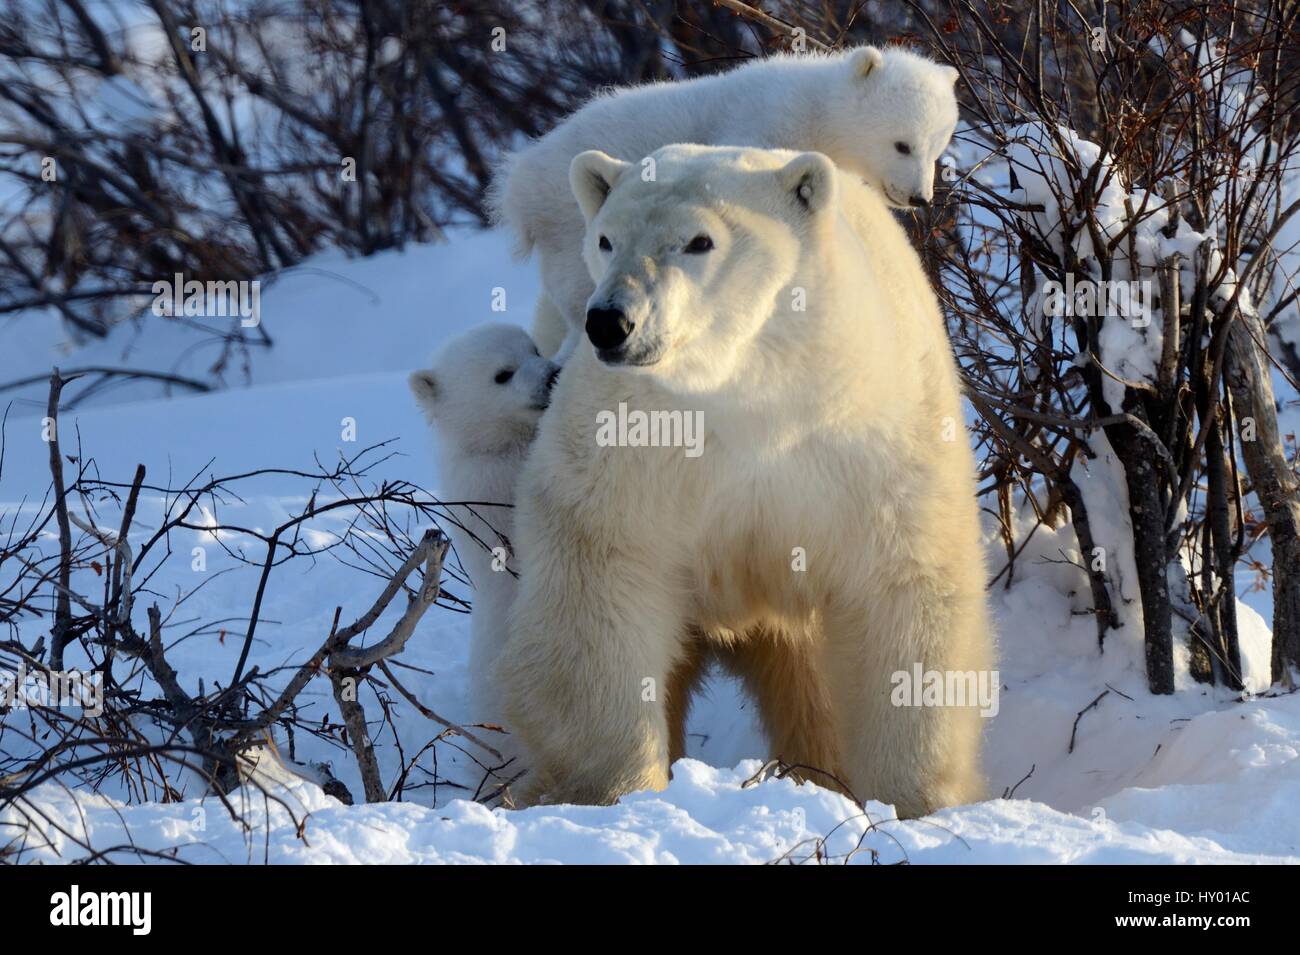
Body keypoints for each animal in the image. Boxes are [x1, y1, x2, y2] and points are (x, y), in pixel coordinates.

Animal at [490, 45, 960, 360]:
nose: (919, 197)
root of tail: (518, 186)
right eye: (902, 144)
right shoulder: (763, 129)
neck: (816, 112)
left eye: (937, 147)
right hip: (567, 224)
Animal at [495, 144, 994, 819]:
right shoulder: (632, 445)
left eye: (699, 241)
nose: (611, 321)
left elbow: (900, 588)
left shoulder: (867, 444)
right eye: (605, 238)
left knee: (811, 680)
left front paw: (916, 801)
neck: (749, 387)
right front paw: (611, 792)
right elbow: (601, 581)